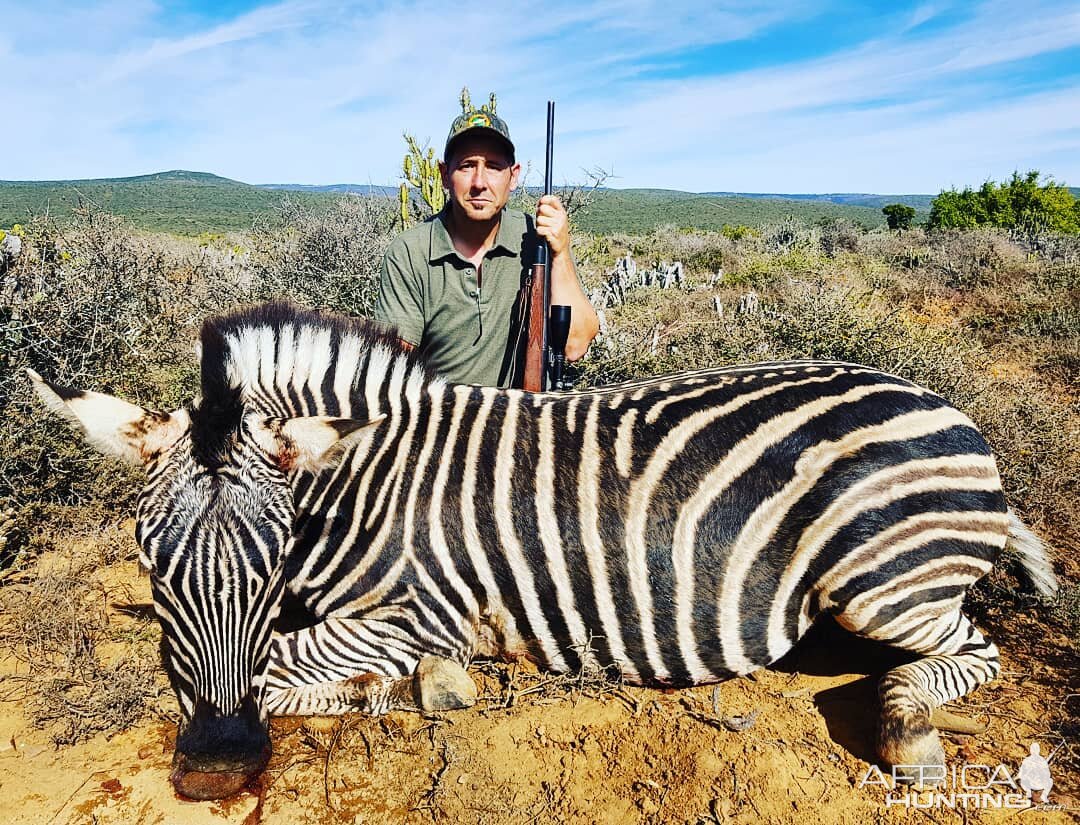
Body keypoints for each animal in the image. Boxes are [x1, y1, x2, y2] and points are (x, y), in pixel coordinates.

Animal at [29, 302, 1058, 799]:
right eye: (150, 561)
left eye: (274, 554)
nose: (215, 768)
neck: (364, 483)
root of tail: (940, 400)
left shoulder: (415, 610)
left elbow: (286, 662)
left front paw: (414, 686)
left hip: (883, 581)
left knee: (974, 650)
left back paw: (910, 730)